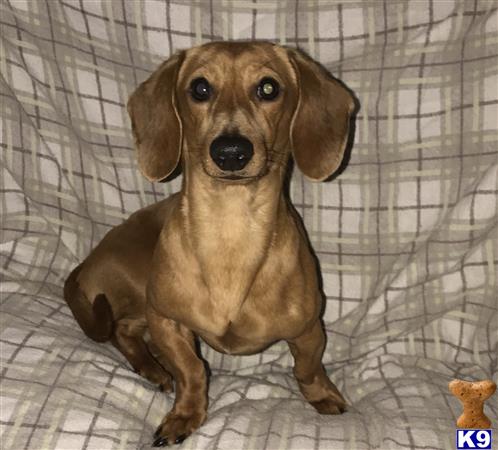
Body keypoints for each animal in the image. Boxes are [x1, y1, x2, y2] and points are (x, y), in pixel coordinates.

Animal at [64, 39, 356, 446]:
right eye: (200, 88)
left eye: (269, 88)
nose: (231, 151)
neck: (229, 234)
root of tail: (85, 265)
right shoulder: (165, 319)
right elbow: (191, 370)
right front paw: (186, 414)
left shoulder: (309, 328)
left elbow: (308, 368)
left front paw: (322, 395)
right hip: (140, 284)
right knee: (121, 331)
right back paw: (154, 369)